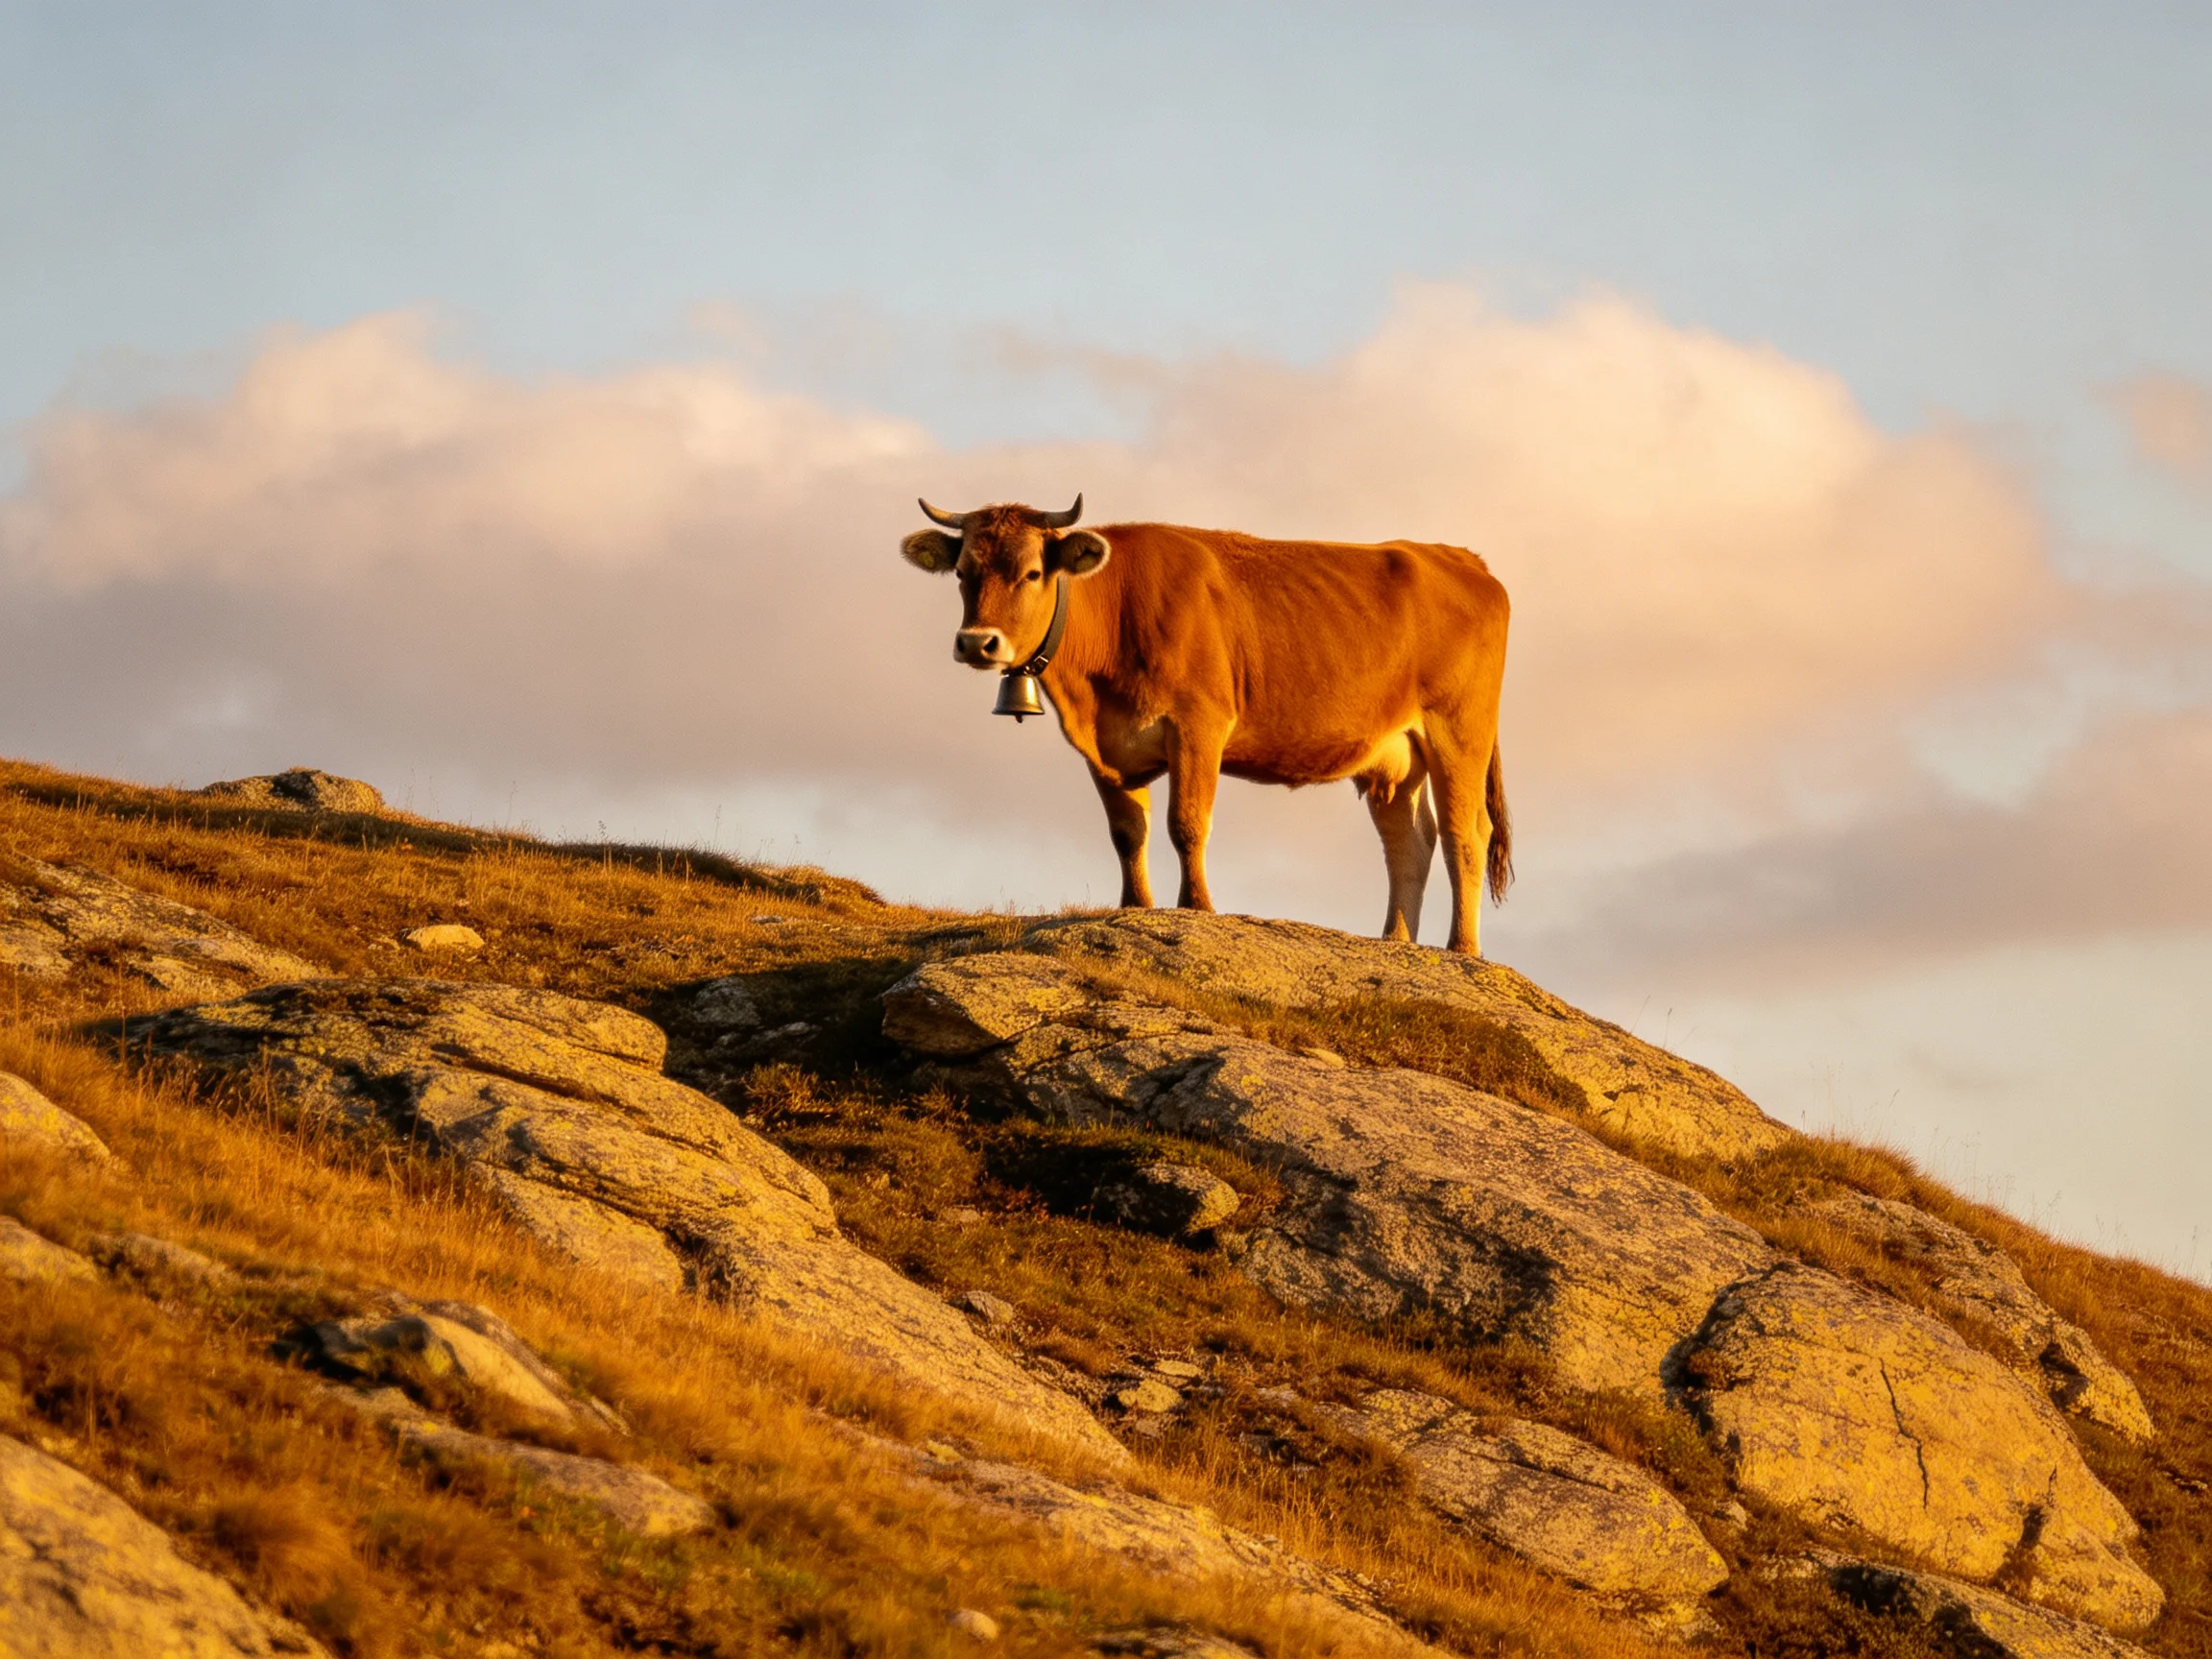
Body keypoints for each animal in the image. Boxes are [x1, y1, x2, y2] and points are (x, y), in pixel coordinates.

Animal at [900, 496, 1512, 954]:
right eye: (962, 573)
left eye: (1031, 573)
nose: (977, 643)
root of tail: (1460, 558)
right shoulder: (1104, 748)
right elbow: (1128, 832)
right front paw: (1136, 907)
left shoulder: (1199, 723)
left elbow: (1186, 824)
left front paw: (1196, 907)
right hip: (1393, 759)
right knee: (1410, 841)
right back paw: (1396, 943)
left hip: (1459, 731)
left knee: (1465, 835)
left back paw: (1462, 950)